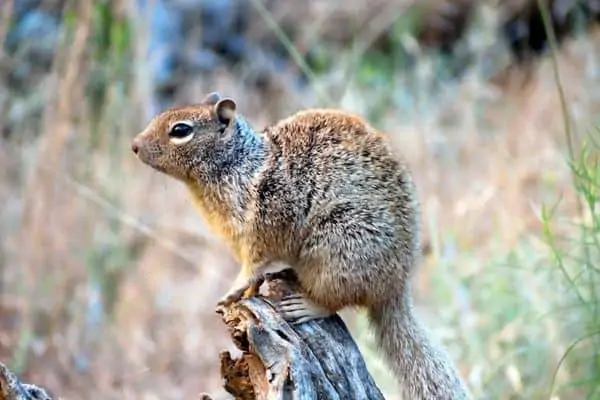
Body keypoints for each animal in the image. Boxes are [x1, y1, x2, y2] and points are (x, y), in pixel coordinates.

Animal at [130, 92, 468, 398]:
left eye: (180, 130)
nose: (134, 145)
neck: (239, 165)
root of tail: (395, 289)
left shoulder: (259, 235)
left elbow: (251, 268)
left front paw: (232, 292)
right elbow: (253, 276)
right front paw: (248, 293)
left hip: (335, 248)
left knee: (335, 301)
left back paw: (304, 304)